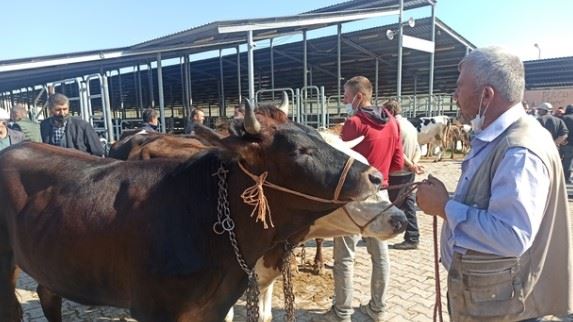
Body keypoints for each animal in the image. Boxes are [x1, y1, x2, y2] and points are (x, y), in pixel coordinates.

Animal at [1, 101, 384, 322]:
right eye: (300, 150)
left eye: (313, 135)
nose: (375, 175)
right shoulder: (154, 310)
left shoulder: (215, 306)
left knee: (48, 294)